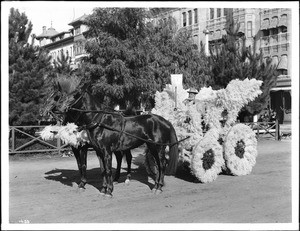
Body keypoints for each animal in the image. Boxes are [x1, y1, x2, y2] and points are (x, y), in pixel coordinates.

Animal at [44, 77, 180, 197]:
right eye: (61, 96)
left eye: (75, 95)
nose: (56, 109)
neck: (99, 121)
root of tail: (165, 121)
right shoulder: (98, 151)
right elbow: (103, 170)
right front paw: (103, 189)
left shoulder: (105, 150)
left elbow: (107, 170)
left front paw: (109, 191)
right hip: (151, 147)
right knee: (156, 164)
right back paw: (156, 185)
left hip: (159, 147)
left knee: (161, 164)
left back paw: (158, 187)